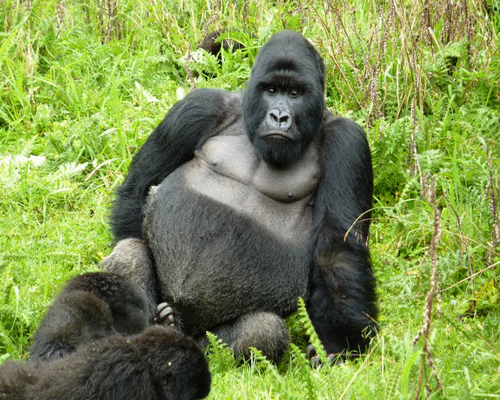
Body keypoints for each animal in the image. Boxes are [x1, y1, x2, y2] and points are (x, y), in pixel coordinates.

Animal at [106, 30, 378, 362]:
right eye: (272, 90)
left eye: (295, 93)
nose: (279, 116)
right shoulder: (200, 105)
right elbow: (140, 186)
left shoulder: (348, 143)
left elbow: (337, 249)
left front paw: (339, 343)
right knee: (129, 250)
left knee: (263, 330)